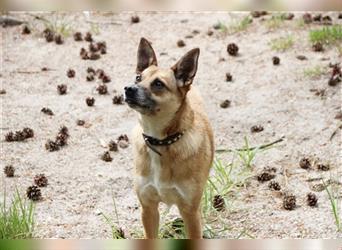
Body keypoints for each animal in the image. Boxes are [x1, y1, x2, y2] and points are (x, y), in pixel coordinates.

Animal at [123, 37, 214, 238]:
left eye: (158, 84)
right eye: (138, 78)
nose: (128, 89)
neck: (160, 141)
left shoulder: (190, 212)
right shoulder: (148, 209)